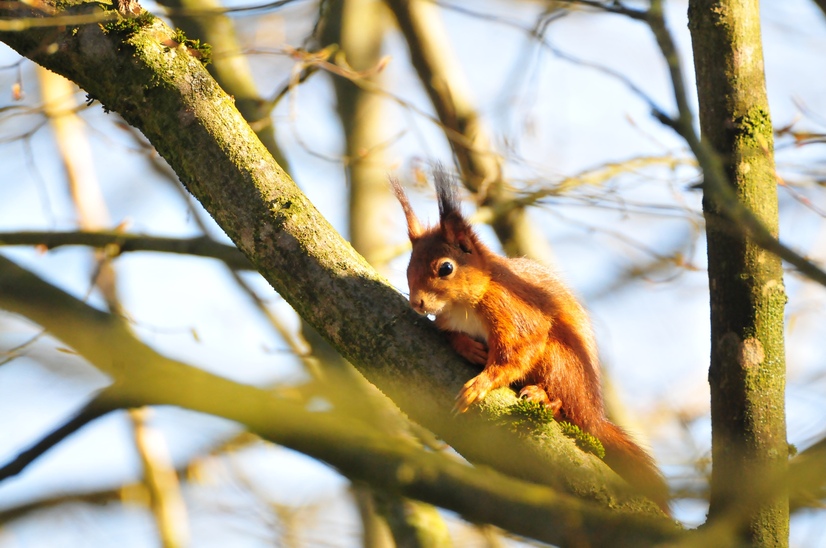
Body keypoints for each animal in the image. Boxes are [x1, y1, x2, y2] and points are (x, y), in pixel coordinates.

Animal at [391, 168, 669, 513]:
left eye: (446, 267)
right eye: (408, 266)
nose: (417, 303)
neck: (463, 305)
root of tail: (593, 412)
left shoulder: (515, 313)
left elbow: (516, 353)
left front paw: (482, 383)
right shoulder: (446, 322)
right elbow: (453, 335)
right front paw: (469, 348)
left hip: (561, 361)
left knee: (565, 405)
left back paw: (545, 398)